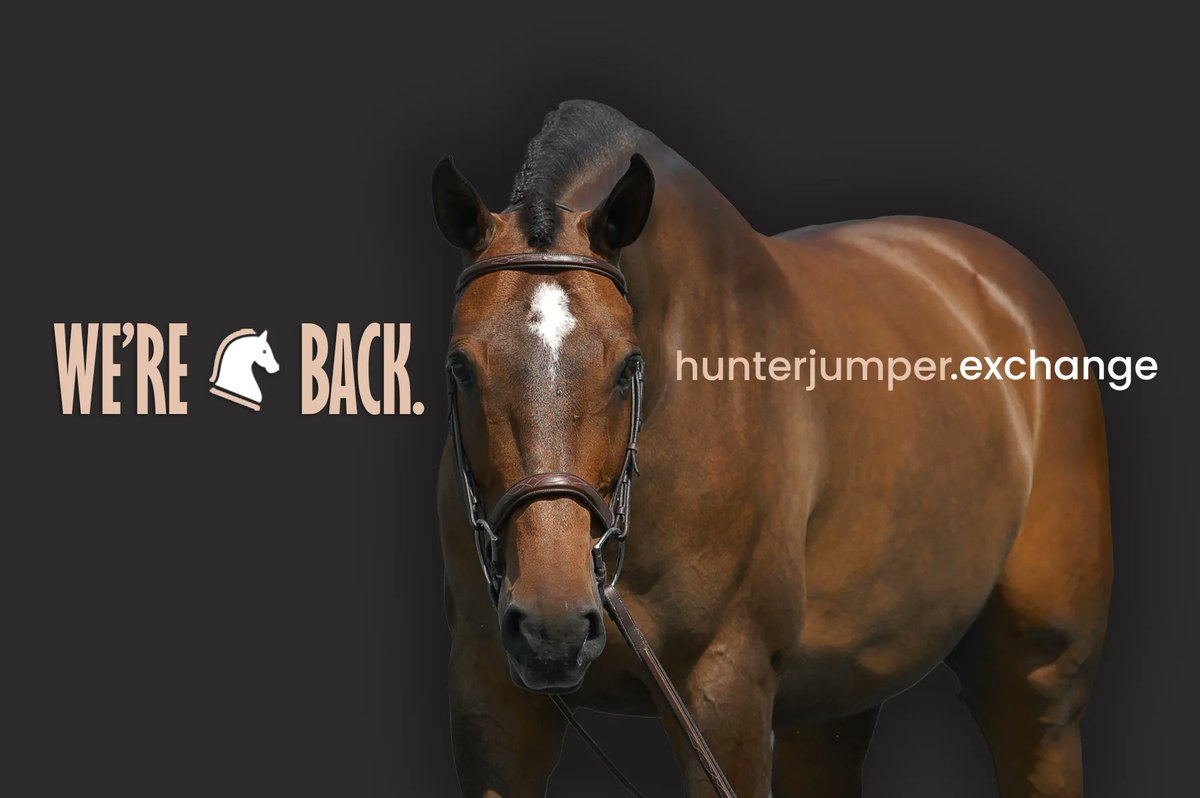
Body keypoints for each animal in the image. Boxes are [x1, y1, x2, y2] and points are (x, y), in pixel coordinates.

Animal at [433, 100, 1111, 798]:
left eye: (627, 368)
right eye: (460, 367)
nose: (554, 625)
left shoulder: (724, 687)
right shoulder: (492, 697)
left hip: (1040, 678)